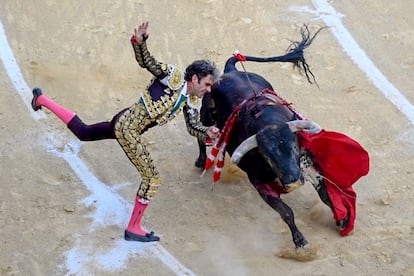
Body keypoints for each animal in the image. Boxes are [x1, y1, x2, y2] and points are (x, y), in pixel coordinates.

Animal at [196, 26, 348, 250]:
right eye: (267, 156)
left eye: (294, 147)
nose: (293, 182)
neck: (268, 122)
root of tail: (230, 71)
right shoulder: (259, 183)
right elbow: (286, 212)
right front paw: (300, 241)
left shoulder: (308, 165)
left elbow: (325, 194)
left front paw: (342, 220)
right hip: (206, 114)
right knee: (199, 132)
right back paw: (200, 160)